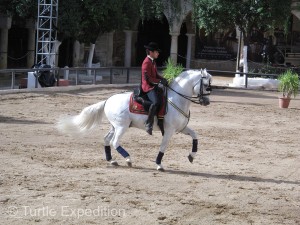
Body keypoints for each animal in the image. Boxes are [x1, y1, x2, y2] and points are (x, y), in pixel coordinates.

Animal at [56, 69, 211, 171]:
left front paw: (192, 156)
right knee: (114, 142)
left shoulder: (181, 128)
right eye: (206, 85)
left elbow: (195, 136)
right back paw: (128, 159)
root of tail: (107, 100)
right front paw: (159, 164)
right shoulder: (169, 130)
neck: (176, 99)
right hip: (121, 127)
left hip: (115, 126)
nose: (207, 102)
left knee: (106, 139)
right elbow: (163, 147)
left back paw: (112, 160)